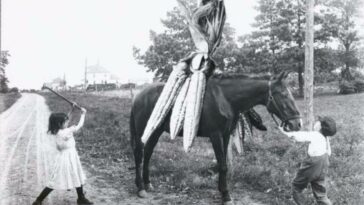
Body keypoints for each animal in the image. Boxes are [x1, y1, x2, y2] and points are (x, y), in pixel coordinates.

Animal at [129, 71, 300, 204]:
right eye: (284, 95)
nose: (297, 124)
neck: (225, 97)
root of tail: (138, 96)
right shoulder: (215, 135)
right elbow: (222, 165)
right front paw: (226, 195)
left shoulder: (225, 135)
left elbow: (223, 163)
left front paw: (223, 192)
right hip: (142, 131)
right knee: (138, 154)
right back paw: (140, 188)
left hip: (155, 131)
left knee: (148, 153)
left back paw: (148, 184)